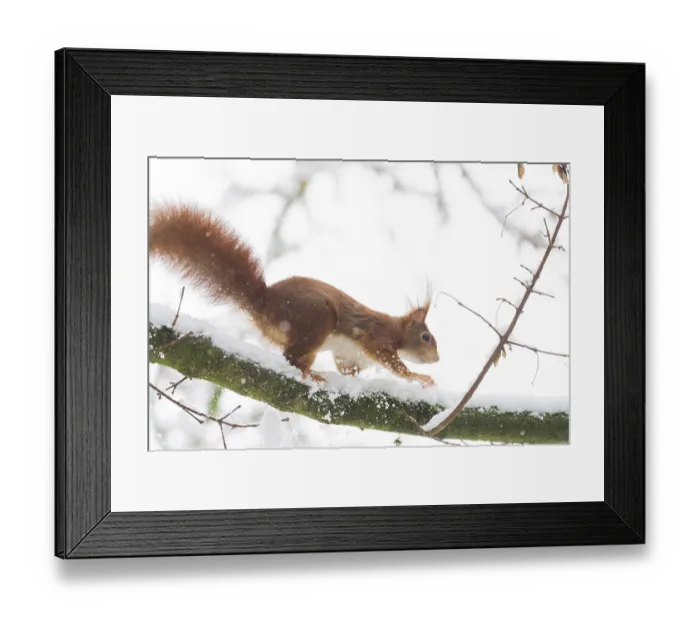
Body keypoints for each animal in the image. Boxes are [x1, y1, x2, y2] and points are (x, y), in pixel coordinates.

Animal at [149, 204, 440, 387]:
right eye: (426, 337)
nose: (437, 360)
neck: (397, 330)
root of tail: (264, 304)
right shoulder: (377, 337)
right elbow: (394, 364)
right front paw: (419, 378)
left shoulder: (349, 358)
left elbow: (348, 370)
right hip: (317, 319)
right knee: (290, 357)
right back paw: (310, 374)